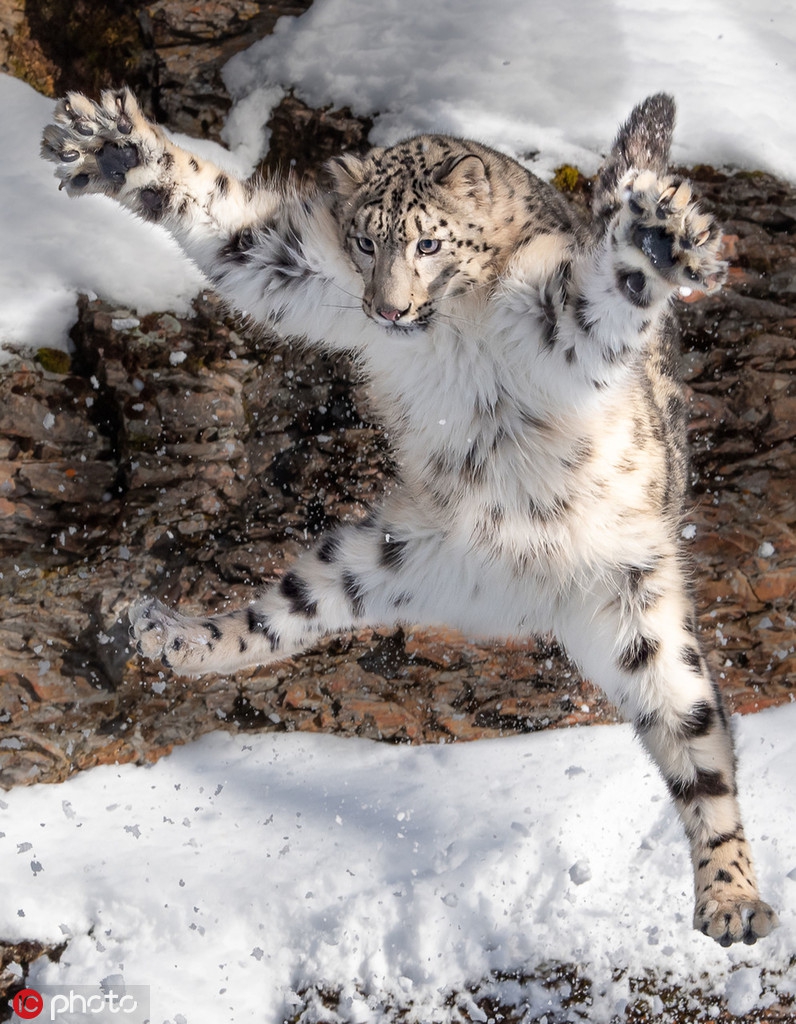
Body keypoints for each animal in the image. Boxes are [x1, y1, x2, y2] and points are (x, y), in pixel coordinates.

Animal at [43, 88, 774, 942]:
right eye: (366, 240)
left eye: (429, 241)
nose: (387, 311)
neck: (451, 329)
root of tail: (521, 600)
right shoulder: (299, 267)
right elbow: (229, 225)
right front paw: (115, 147)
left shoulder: (561, 319)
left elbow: (607, 290)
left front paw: (658, 237)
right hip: (374, 556)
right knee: (271, 622)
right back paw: (167, 634)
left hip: (644, 617)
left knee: (700, 753)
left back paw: (732, 900)